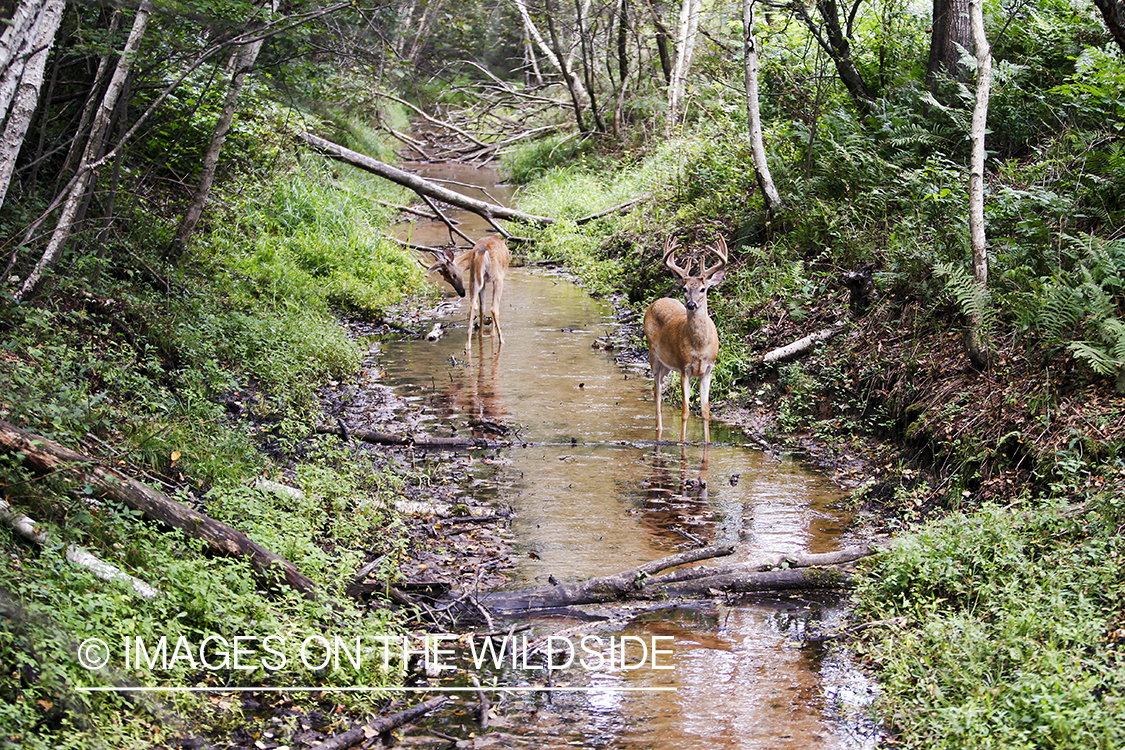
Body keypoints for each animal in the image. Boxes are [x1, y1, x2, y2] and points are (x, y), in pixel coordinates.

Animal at [648, 237, 724, 443]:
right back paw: (658, 429)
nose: (691, 304)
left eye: (703, 289)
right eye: (684, 288)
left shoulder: (708, 369)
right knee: (657, 390)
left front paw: (707, 443)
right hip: (653, 355)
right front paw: (682, 442)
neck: (700, 347)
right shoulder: (684, 368)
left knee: (656, 387)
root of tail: (656, 301)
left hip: (667, 365)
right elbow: (685, 411)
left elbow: (705, 411)